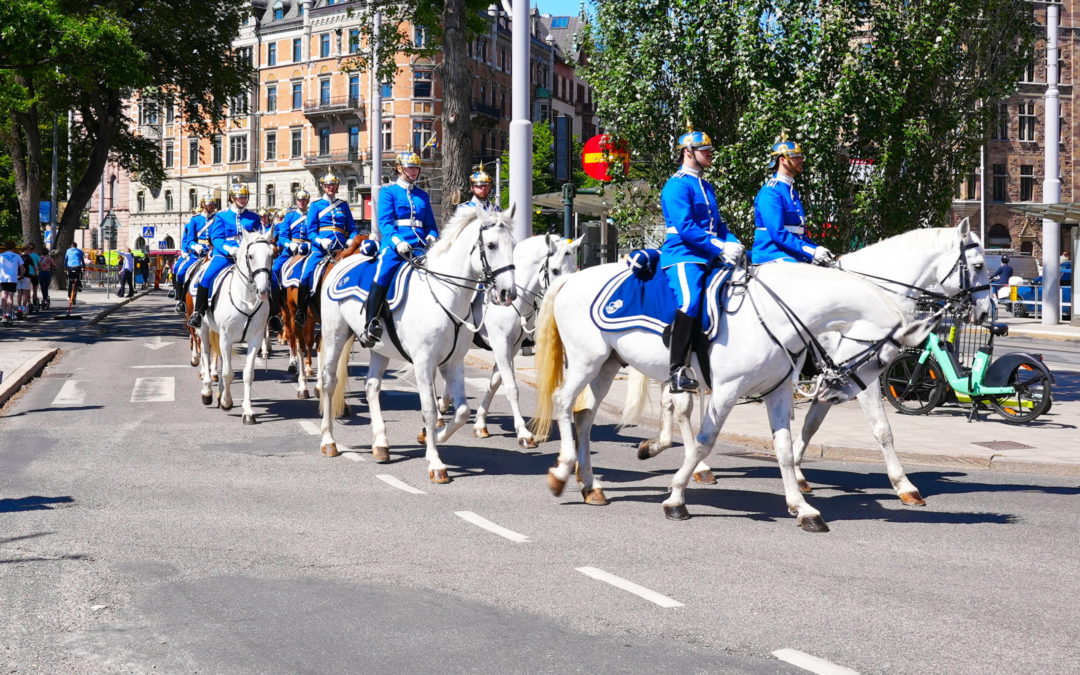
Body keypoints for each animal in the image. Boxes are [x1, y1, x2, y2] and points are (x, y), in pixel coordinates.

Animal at [195, 228, 276, 423]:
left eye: (272, 255)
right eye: (251, 256)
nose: (263, 291)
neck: (247, 298)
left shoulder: (255, 339)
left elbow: (247, 374)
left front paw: (248, 411)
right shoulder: (226, 338)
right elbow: (227, 372)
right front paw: (226, 401)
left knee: (220, 359)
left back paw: (220, 391)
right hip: (203, 328)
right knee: (206, 353)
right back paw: (207, 391)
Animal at [315, 208, 518, 481]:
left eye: (513, 245)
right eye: (491, 245)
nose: (508, 293)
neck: (446, 296)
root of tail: (342, 262)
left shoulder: (454, 362)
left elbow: (462, 411)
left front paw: (433, 438)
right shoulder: (424, 362)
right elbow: (430, 409)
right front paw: (435, 463)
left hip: (380, 349)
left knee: (371, 386)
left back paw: (381, 445)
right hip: (334, 334)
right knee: (329, 381)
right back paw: (329, 441)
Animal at [468, 231, 578, 447]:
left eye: (575, 268)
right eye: (555, 270)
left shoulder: (510, 347)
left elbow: (495, 383)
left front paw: (480, 424)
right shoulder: (500, 344)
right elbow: (511, 387)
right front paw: (523, 433)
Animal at [527, 260, 933, 529]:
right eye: (881, 358)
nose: (835, 393)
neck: (776, 316)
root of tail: (573, 278)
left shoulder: (777, 392)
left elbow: (784, 450)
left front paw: (802, 507)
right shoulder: (726, 390)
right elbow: (705, 442)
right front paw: (675, 498)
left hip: (607, 365)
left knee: (584, 417)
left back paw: (591, 486)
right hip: (586, 360)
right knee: (564, 403)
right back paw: (561, 473)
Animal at [630, 223, 993, 503]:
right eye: (977, 265)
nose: (987, 311)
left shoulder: (836, 382)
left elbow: (809, 426)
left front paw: (798, 474)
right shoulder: (860, 378)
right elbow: (882, 429)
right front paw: (904, 485)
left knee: (672, 403)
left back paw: (659, 447)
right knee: (682, 408)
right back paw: (696, 465)